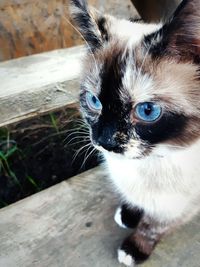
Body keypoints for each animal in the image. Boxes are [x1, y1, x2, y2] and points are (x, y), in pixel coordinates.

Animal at [69, 0, 200, 266]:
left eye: (147, 111)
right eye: (94, 101)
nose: (104, 140)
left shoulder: (181, 204)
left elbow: (154, 226)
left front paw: (135, 248)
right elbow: (135, 200)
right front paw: (130, 213)